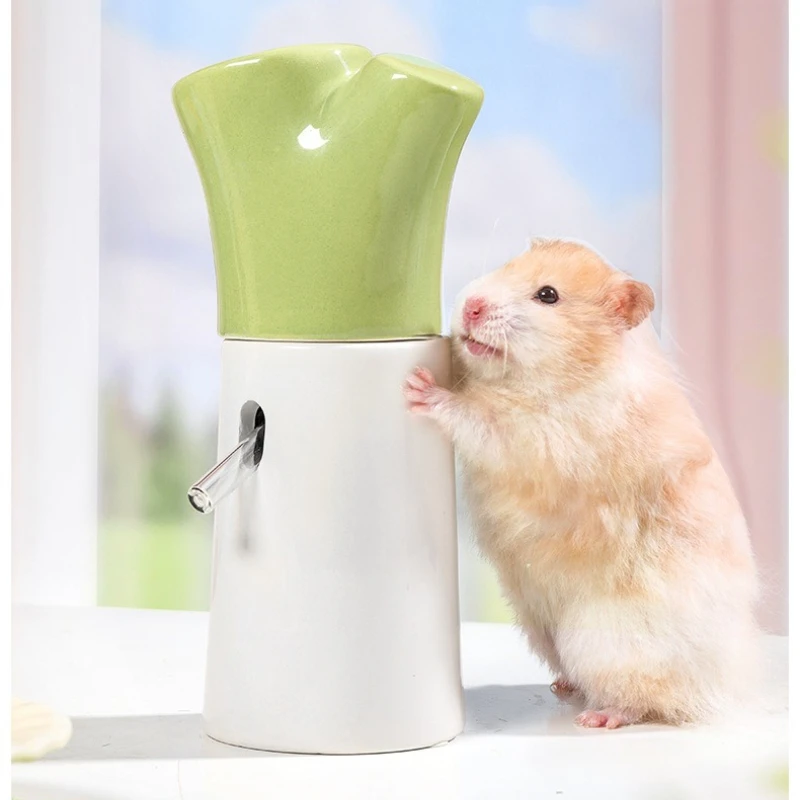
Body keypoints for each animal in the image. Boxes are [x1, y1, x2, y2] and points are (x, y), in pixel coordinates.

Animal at [404, 238, 760, 729]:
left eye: (548, 295)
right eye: (508, 266)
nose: (471, 306)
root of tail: (723, 691)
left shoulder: (546, 440)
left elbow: (480, 419)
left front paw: (418, 388)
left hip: (607, 642)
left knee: (648, 699)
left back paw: (599, 717)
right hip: (539, 627)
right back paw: (563, 686)